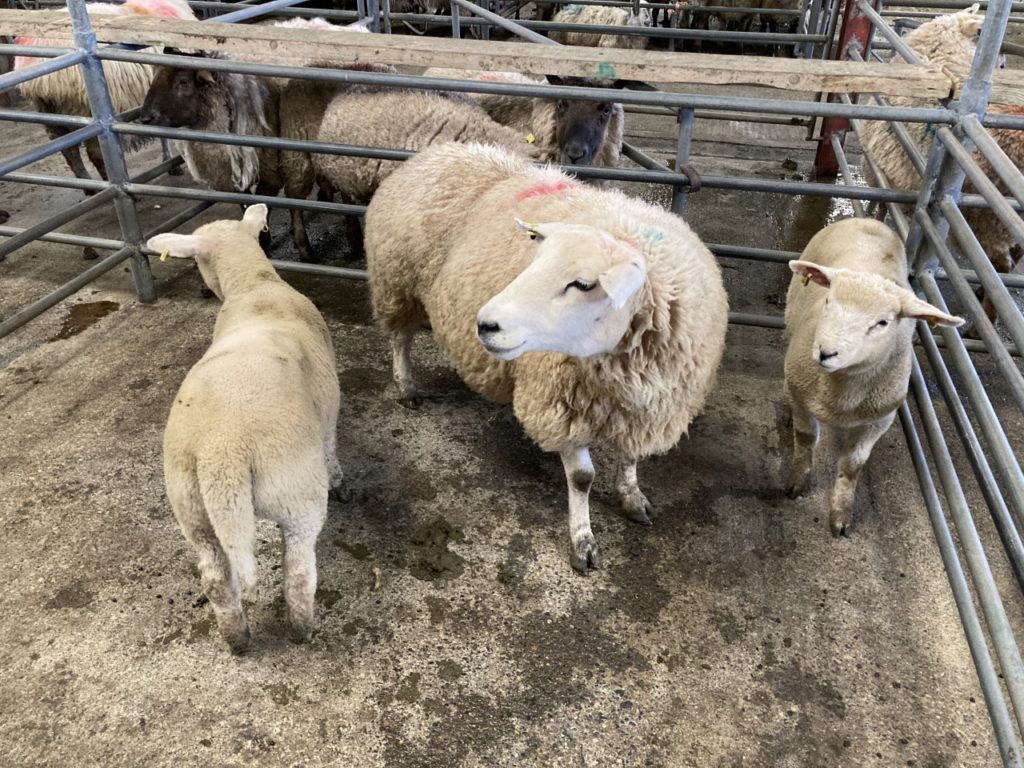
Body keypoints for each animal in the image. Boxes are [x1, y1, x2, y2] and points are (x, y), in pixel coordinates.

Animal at [149, 204, 344, 653]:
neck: (253, 287)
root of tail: (224, 453)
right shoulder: (329, 412)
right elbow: (332, 447)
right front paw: (341, 481)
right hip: (297, 497)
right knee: (298, 573)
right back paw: (301, 630)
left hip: (193, 510)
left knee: (216, 578)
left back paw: (237, 639)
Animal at [364, 141, 729, 573]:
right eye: (534, 262)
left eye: (583, 284)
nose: (485, 324)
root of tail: (441, 150)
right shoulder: (559, 403)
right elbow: (583, 478)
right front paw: (583, 541)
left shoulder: (645, 409)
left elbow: (629, 455)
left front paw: (631, 494)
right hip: (396, 282)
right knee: (400, 340)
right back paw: (406, 386)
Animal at [783, 218, 963, 536]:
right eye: (828, 301)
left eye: (882, 323)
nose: (826, 353)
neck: (840, 392)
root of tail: (868, 220)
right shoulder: (798, 387)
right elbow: (805, 438)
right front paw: (797, 480)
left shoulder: (880, 420)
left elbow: (852, 465)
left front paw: (841, 513)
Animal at [857, 6, 1021, 320]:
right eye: (1001, 60)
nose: (1005, 65)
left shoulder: (881, 172)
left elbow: (882, 207)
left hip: (989, 223)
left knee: (1002, 272)